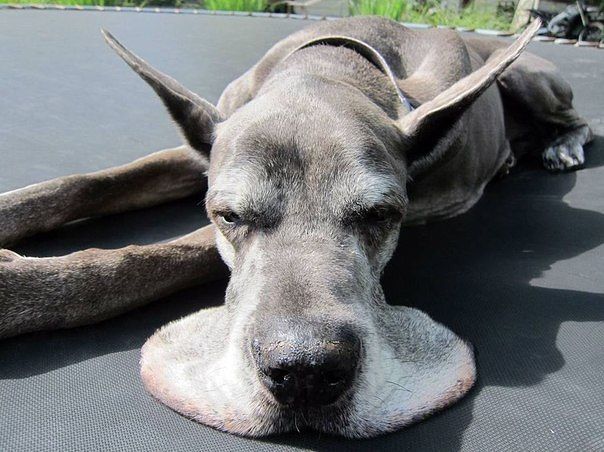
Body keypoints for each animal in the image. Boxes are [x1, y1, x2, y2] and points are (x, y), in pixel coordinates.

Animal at [0, 16, 591, 438]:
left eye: (382, 215)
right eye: (229, 216)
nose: (305, 370)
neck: (329, 68)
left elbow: (154, 256)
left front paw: (24, 288)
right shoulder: (200, 151)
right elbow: (85, 183)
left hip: (527, 77)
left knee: (575, 119)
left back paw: (561, 146)